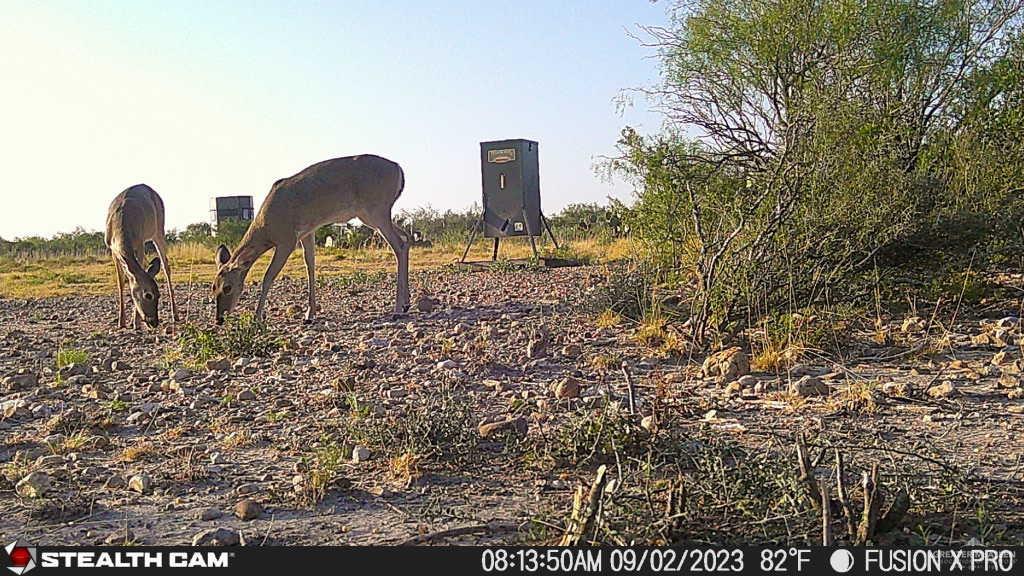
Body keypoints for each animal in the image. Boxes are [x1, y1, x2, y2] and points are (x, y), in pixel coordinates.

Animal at [104, 182, 179, 327]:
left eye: (159, 295)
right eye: (148, 295)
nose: (154, 322)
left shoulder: (139, 243)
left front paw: (136, 321)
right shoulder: (112, 250)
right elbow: (121, 281)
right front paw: (121, 321)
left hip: (158, 231)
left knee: (166, 267)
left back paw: (175, 315)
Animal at [212, 152, 411, 323]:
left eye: (227, 287)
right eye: (213, 287)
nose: (219, 319)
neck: (266, 225)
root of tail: (399, 169)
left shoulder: (286, 240)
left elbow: (268, 276)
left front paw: (257, 318)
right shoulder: (307, 233)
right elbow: (310, 266)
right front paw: (309, 314)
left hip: (376, 211)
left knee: (398, 245)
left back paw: (397, 310)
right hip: (372, 216)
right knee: (406, 237)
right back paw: (406, 304)